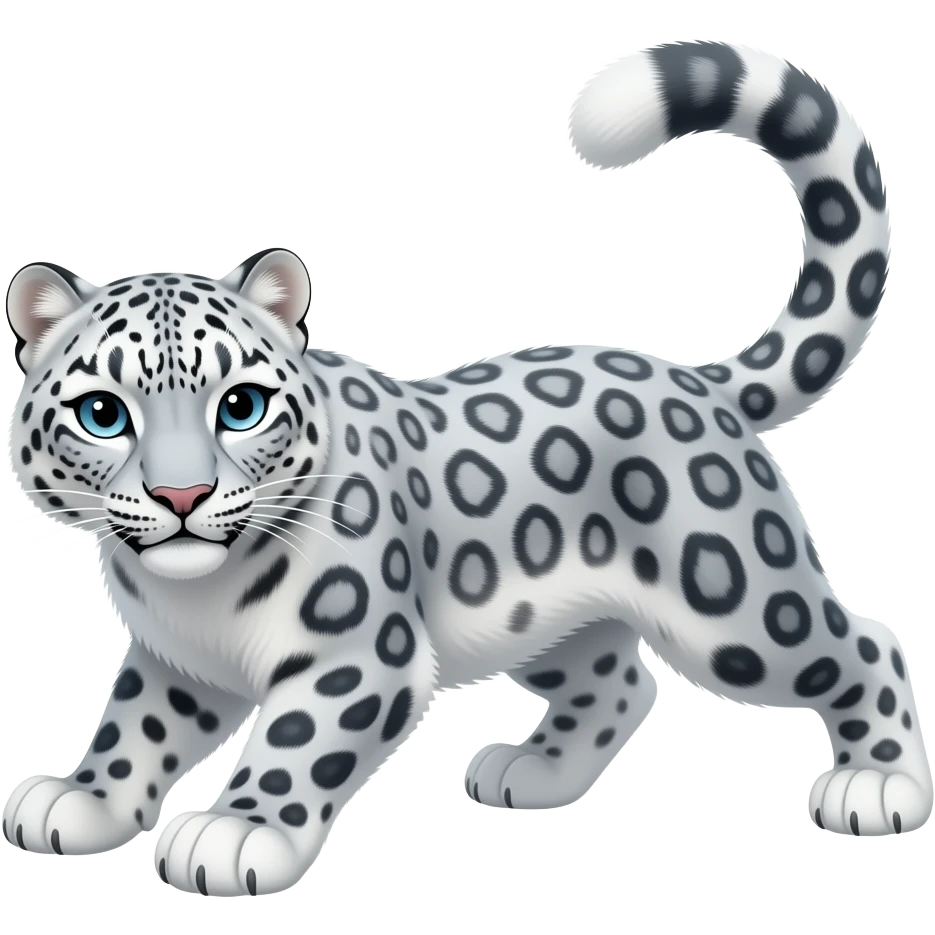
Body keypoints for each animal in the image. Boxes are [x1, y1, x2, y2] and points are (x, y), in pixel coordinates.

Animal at [2, 39, 929, 898]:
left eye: (240, 405)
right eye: (103, 413)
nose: (182, 494)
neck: (197, 598)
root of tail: (696, 378)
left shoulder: (358, 653)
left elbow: (294, 742)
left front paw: (236, 831)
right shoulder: (176, 662)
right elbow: (135, 729)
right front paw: (81, 798)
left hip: (734, 604)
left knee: (864, 646)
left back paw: (878, 785)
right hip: (542, 622)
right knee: (621, 679)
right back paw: (533, 773)